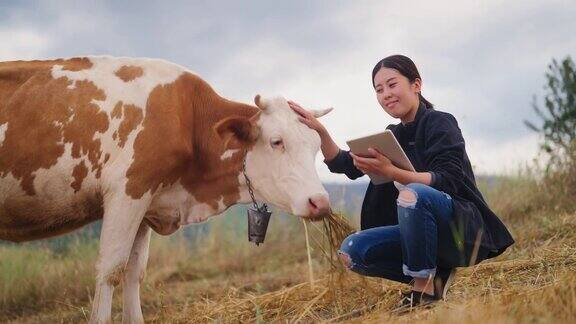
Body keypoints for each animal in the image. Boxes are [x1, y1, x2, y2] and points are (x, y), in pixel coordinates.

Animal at [0, 55, 330, 322]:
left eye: (316, 146)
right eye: (277, 141)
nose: (321, 202)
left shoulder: (148, 204)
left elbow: (133, 273)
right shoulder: (127, 191)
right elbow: (110, 269)